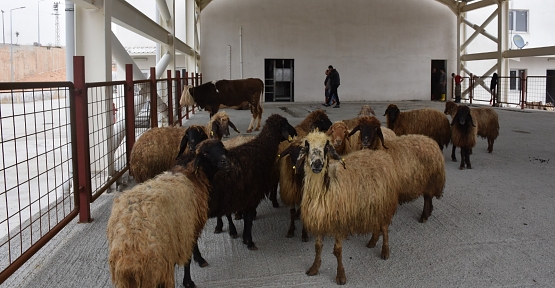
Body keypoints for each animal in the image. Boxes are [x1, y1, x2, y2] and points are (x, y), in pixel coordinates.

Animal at [107, 139, 231, 288]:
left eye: (222, 147)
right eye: (206, 153)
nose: (226, 162)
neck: (191, 174)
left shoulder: (189, 224)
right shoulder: (187, 226)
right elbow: (188, 256)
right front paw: (189, 279)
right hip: (157, 264)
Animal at [298, 132, 402, 284]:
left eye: (326, 148)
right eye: (307, 147)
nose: (317, 164)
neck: (326, 186)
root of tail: (381, 155)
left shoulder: (339, 222)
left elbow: (337, 250)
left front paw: (341, 276)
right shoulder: (320, 220)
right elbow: (317, 247)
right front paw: (314, 268)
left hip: (383, 204)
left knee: (384, 227)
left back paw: (385, 251)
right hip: (372, 205)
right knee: (377, 224)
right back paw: (372, 241)